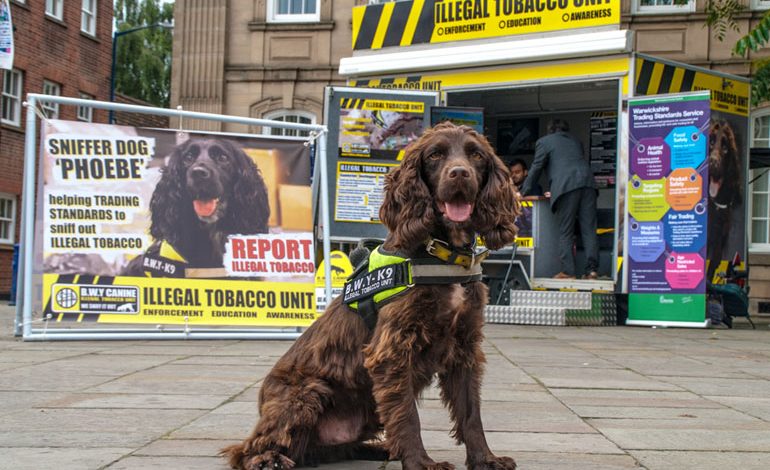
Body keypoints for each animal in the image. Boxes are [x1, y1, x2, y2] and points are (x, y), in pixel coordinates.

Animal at [222, 122, 520, 470]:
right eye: (435, 155)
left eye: (476, 155)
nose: (459, 174)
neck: (441, 253)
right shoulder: (392, 351)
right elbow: (408, 416)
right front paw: (421, 463)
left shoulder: (465, 347)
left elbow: (471, 413)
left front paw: (486, 459)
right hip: (305, 392)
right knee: (246, 449)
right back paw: (269, 460)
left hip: (365, 410)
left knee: (334, 449)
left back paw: (383, 449)